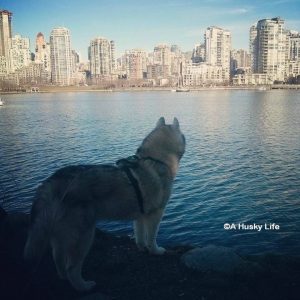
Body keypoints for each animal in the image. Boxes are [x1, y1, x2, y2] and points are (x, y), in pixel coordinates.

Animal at [24, 116, 185, 290]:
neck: (157, 159)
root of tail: (51, 182)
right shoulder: (155, 214)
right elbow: (152, 238)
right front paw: (156, 251)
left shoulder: (140, 216)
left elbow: (140, 236)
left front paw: (142, 248)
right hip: (83, 236)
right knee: (71, 267)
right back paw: (84, 286)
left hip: (60, 236)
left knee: (57, 259)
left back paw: (63, 279)